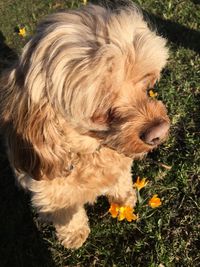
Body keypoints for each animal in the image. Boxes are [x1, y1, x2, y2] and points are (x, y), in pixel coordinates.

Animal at [0, 3, 170, 249]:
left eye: (146, 83)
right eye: (102, 110)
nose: (160, 132)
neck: (89, 153)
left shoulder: (119, 165)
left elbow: (120, 180)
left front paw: (125, 199)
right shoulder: (53, 192)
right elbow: (65, 212)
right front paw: (74, 235)